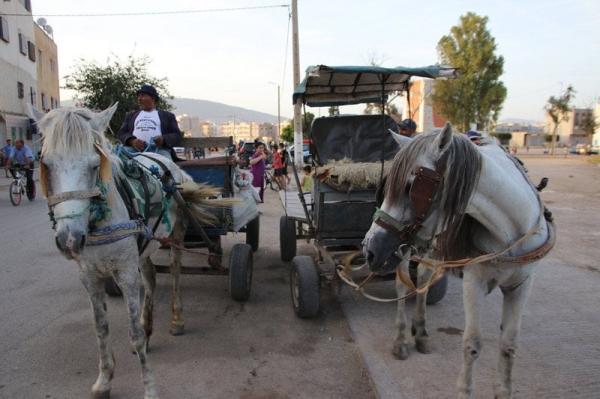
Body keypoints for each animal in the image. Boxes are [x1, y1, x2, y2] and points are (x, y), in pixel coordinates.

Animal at [33, 105, 220, 399]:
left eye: (94, 166)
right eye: (47, 165)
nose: (70, 239)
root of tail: (162, 159)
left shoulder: (126, 273)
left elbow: (133, 332)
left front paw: (150, 388)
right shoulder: (90, 277)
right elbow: (100, 328)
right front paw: (104, 380)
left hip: (176, 234)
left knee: (176, 271)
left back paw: (176, 319)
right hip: (142, 249)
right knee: (151, 277)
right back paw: (149, 325)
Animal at [360, 123, 552, 398]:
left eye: (410, 187)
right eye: (387, 188)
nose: (369, 249)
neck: (510, 231)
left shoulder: (522, 284)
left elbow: (509, 345)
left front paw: (503, 390)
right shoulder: (474, 282)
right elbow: (472, 344)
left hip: (426, 245)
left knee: (423, 281)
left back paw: (421, 332)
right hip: (402, 250)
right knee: (402, 286)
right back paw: (401, 339)